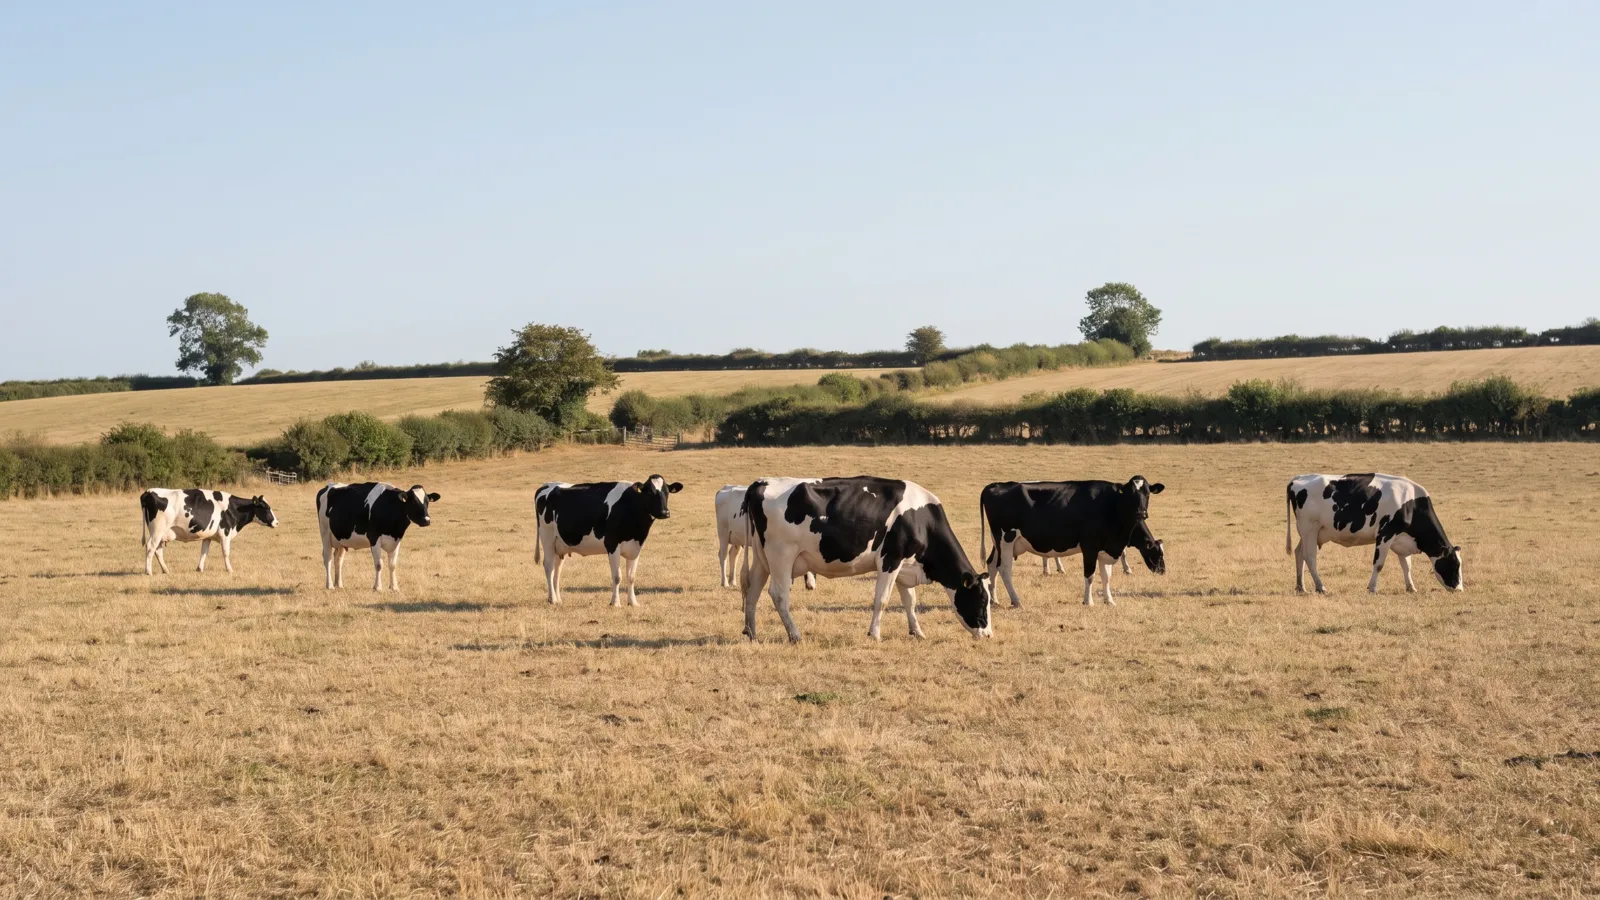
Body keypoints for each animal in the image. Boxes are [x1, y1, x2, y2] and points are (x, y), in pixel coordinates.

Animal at [140, 488, 277, 575]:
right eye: (266, 507)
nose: (276, 522)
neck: (233, 508)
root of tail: (149, 492)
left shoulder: (208, 536)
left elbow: (204, 552)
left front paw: (199, 569)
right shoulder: (225, 533)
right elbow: (226, 553)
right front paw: (229, 569)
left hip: (161, 533)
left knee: (158, 550)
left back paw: (165, 570)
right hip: (157, 531)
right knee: (150, 547)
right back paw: (148, 571)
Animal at [534, 475, 682, 606]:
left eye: (667, 492)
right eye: (651, 492)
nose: (665, 512)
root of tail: (547, 485)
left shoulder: (635, 548)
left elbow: (631, 577)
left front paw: (633, 602)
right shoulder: (612, 544)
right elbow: (617, 577)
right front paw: (615, 603)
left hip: (560, 545)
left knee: (557, 570)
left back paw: (557, 599)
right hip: (547, 538)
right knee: (549, 567)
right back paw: (552, 600)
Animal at [739, 476, 993, 642]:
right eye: (982, 600)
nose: (988, 634)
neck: (921, 519)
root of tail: (762, 482)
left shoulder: (905, 565)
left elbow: (910, 601)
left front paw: (917, 632)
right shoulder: (890, 559)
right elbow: (882, 600)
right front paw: (874, 634)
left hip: (762, 559)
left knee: (752, 592)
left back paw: (751, 633)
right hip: (781, 555)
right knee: (779, 595)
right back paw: (795, 635)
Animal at [979, 477, 1166, 608]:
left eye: (1147, 493)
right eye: (1131, 494)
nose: (1142, 513)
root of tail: (995, 485)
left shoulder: (1107, 549)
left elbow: (1106, 577)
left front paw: (1109, 601)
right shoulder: (1090, 547)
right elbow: (1090, 575)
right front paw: (1088, 602)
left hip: (998, 543)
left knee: (992, 565)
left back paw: (994, 600)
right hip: (1006, 539)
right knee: (1004, 569)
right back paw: (1016, 600)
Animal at [1286, 473, 1463, 594]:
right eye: (1454, 564)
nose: (1460, 589)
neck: (1410, 503)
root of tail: (1299, 477)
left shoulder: (1402, 540)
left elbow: (1407, 566)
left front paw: (1411, 587)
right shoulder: (1385, 535)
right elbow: (1379, 564)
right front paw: (1372, 588)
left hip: (1309, 533)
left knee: (1299, 553)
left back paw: (1300, 587)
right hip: (1310, 529)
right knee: (1310, 557)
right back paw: (1320, 586)